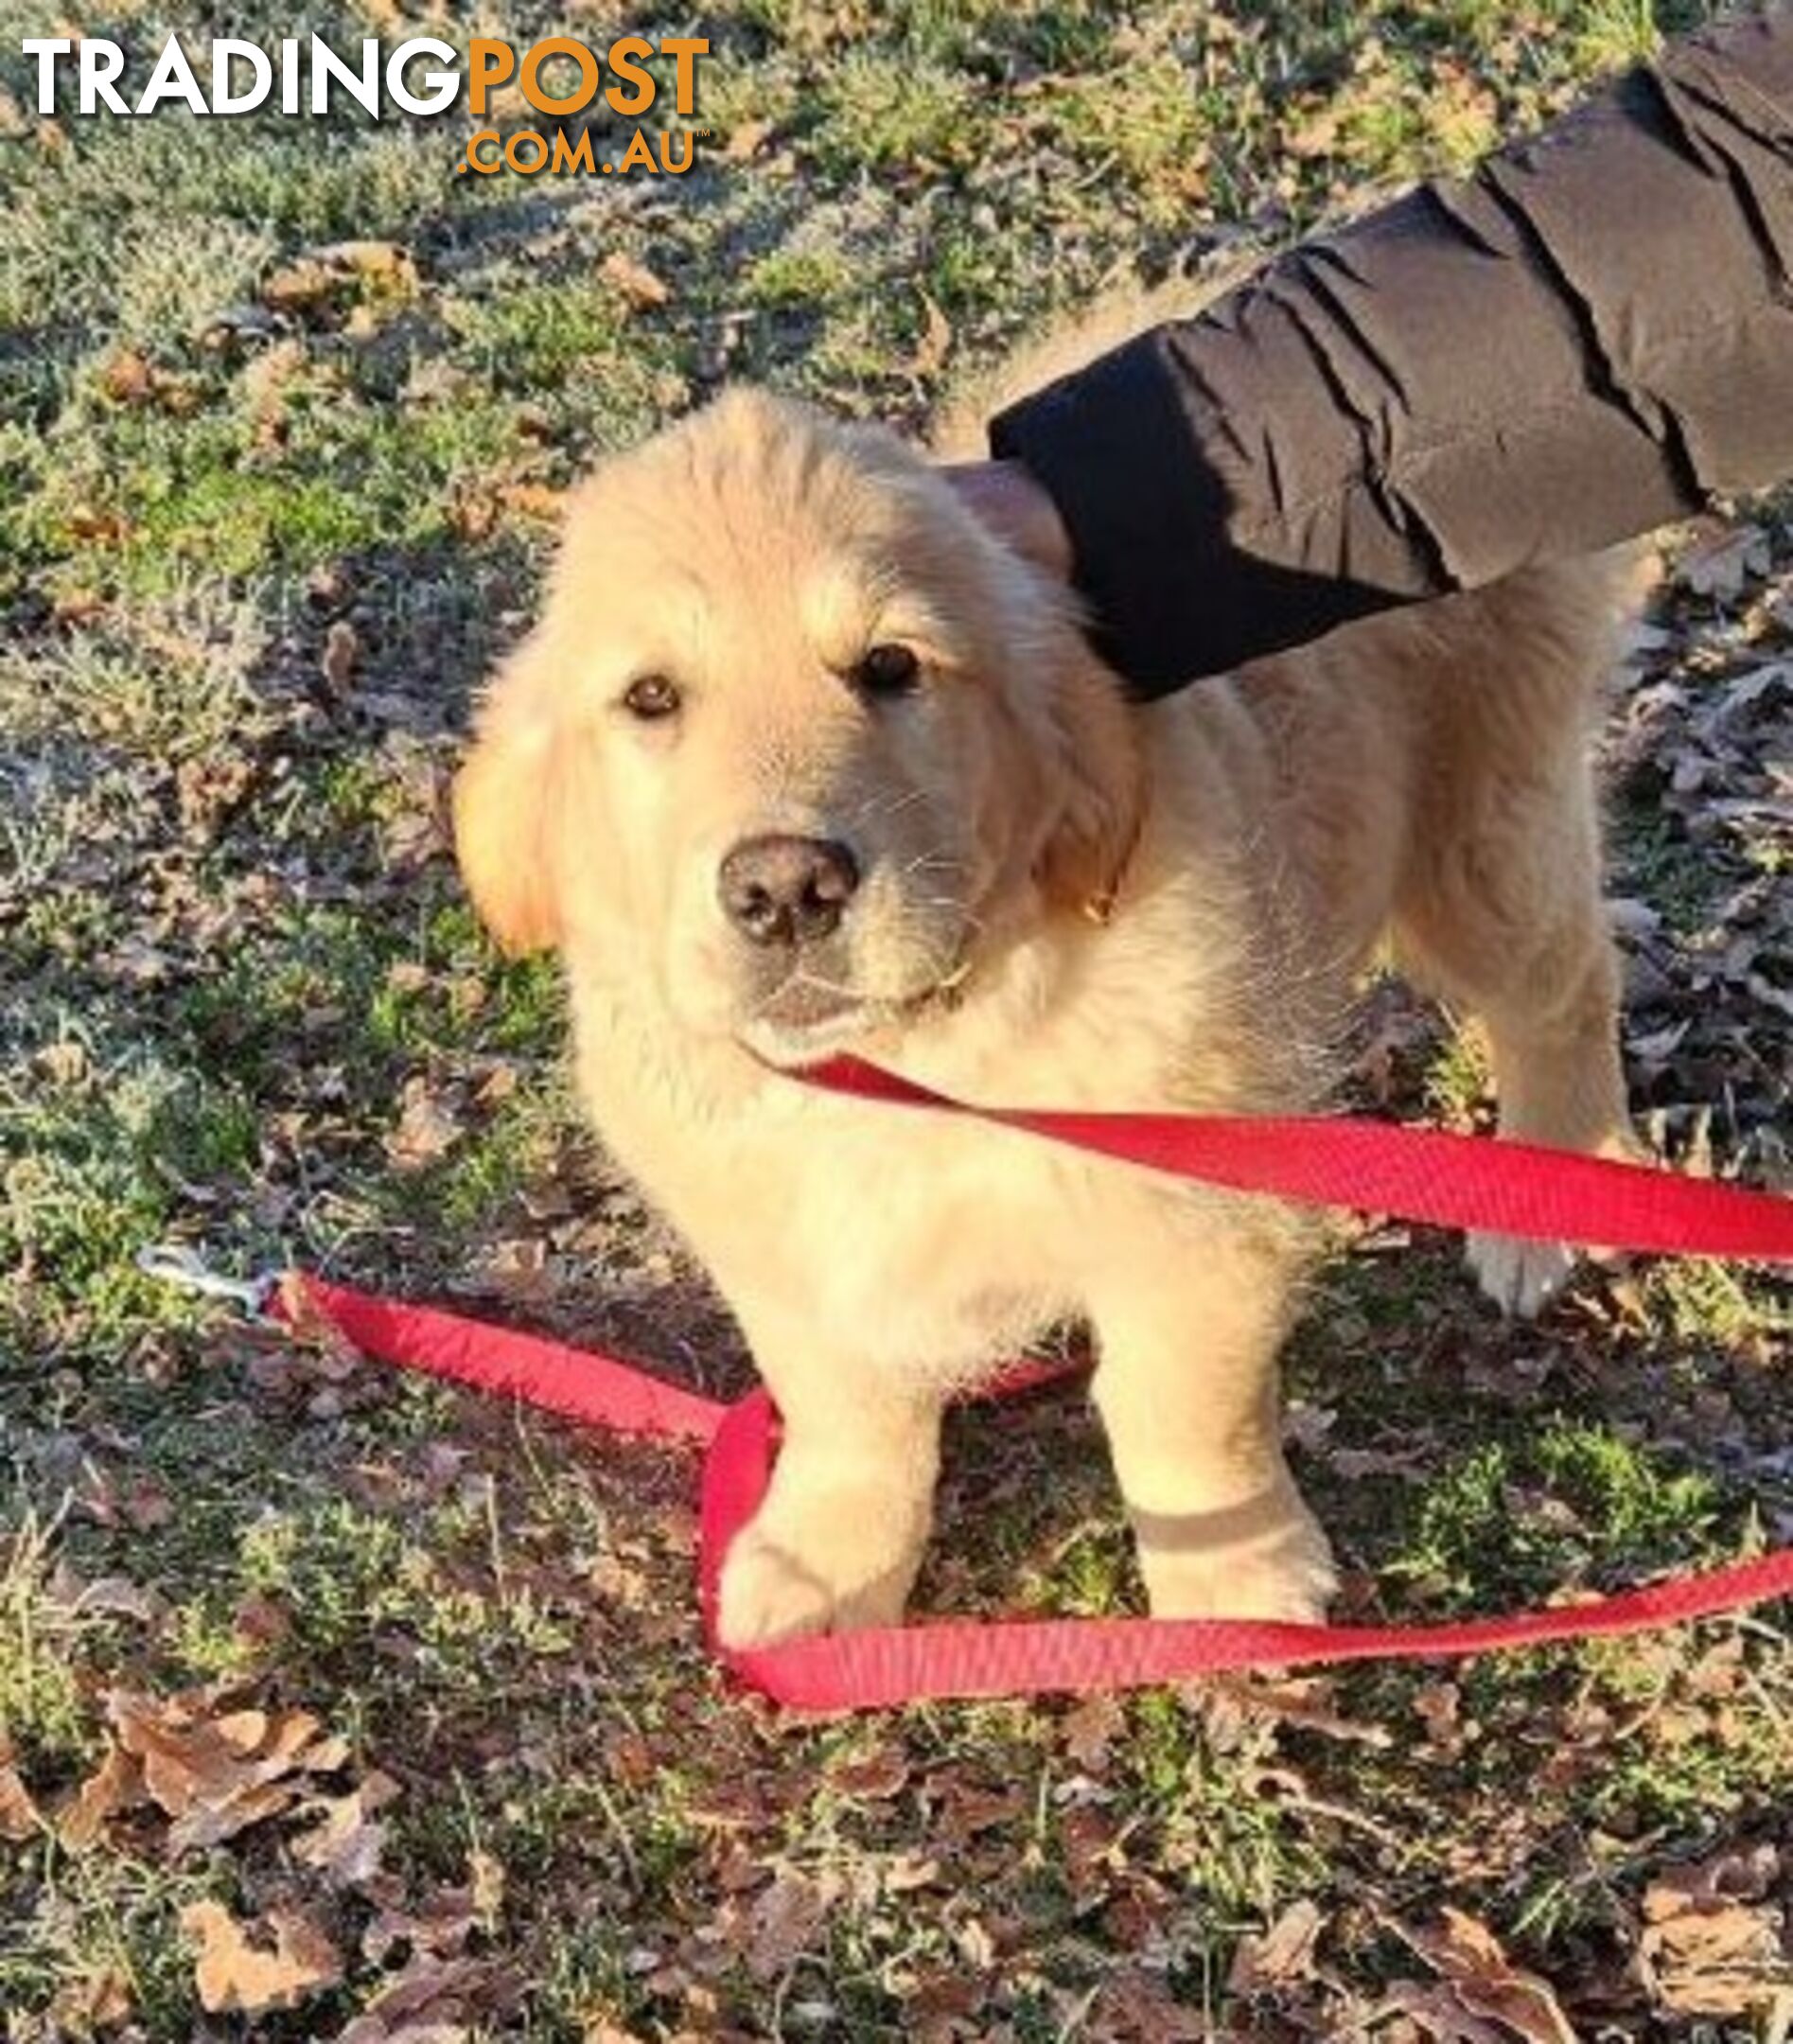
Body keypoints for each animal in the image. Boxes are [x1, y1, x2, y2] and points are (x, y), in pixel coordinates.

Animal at [451, 367, 1635, 1651]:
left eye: (890, 668)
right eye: (651, 698)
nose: (784, 890)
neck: (918, 1056)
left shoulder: (1197, 1216)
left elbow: (1181, 1408)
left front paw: (1234, 1589)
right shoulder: (784, 1254)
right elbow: (845, 1413)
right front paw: (824, 1564)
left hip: (1481, 838)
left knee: (1566, 986)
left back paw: (1545, 1202)